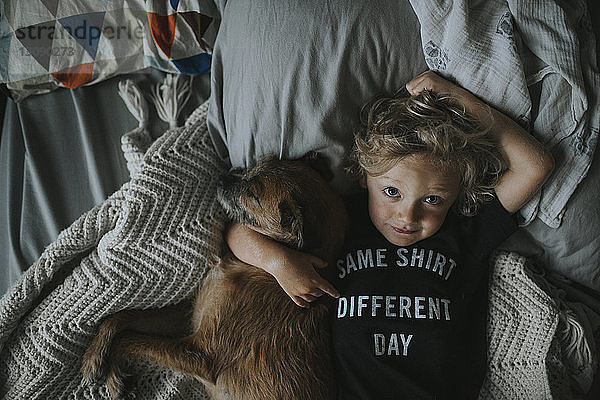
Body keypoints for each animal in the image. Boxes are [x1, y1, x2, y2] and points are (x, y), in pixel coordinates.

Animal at [82, 155, 350, 398]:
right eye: (257, 165)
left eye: (253, 194)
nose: (222, 177)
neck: (261, 271)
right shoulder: (193, 313)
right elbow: (121, 317)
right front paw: (94, 359)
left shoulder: (201, 353)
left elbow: (130, 339)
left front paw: (111, 377)